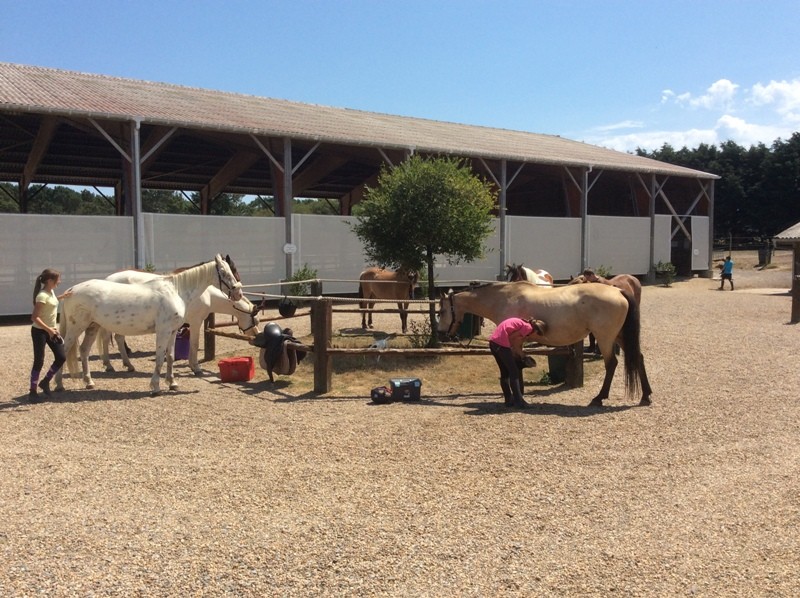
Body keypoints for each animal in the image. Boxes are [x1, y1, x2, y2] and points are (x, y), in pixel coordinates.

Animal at [55, 255, 241, 396]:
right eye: (224, 272)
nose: (238, 293)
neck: (176, 291)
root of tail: (71, 289)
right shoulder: (163, 331)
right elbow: (159, 358)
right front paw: (155, 387)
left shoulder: (172, 331)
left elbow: (170, 356)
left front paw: (172, 383)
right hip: (76, 327)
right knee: (65, 350)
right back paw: (59, 385)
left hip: (92, 327)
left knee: (84, 351)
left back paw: (89, 382)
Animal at [96, 272, 260, 376]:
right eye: (255, 319)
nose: (256, 336)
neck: (206, 295)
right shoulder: (196, 322)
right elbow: (194, 344)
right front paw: (195, 367)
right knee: (107, 338)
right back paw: (110, 365)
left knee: (117, 339)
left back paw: (127, 365)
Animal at [438, 282, 648, 408]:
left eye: (442, 310)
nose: (441, 334)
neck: (504, 298)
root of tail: (619, 290)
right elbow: (518, 365)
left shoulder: (514, 341)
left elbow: (515, 367)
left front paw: (519, 398)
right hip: (619, 336)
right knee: (638, 357)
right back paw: (646, 396)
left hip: (605, 338)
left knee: (611, 364)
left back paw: (599, 398)